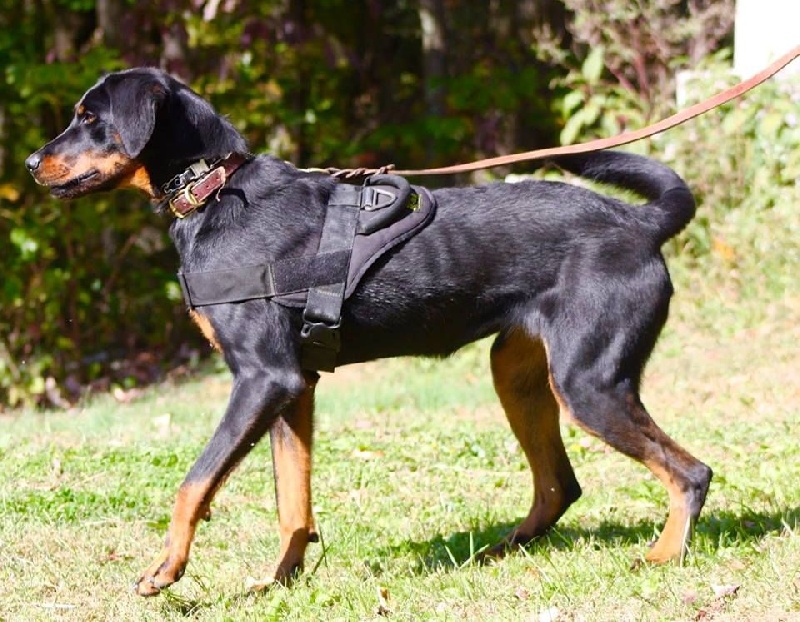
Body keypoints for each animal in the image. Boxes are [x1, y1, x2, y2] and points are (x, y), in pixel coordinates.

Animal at [25, 66, 712, 596]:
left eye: (90, 117)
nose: (31, 162)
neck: (216, 192)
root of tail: (642, 224)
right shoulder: (294, 387)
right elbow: (293, 503)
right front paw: (278, 582)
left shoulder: (262, 378)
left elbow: (193, 484)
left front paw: (166, 570)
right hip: (518, 374)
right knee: (560, 485)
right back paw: (495, 553)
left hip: (589, 382)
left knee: (691, 472)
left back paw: (661, 557)